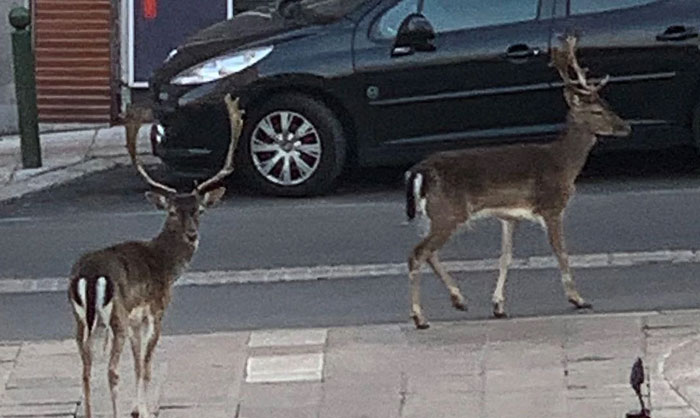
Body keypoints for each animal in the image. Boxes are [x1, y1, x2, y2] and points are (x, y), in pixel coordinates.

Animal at [67, 93, 243, 418]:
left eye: (200, 210)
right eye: (172, 212)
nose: (192, 234)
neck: (166, 264)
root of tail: (89, 275)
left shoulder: (137, 319)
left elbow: (138, 364)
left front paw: (138, 408)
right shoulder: (156, 308)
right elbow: (146, 366)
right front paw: (144, 411)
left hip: (80, 319)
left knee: (85, 369)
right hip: (116, 316)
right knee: (111, 370)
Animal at [404, 35, 631, 329]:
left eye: (607, 104)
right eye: (596, 110)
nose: (626, 127)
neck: (563, 163)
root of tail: (417, 171)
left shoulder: (509, 215)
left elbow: (506, 256)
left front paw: (498, 305)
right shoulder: (551, 206)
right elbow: (561, 251)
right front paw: (578, 299)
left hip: (433, 215)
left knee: (429, 253)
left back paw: (459, 300)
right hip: (447, 212)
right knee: (417, 253)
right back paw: (420, 317)